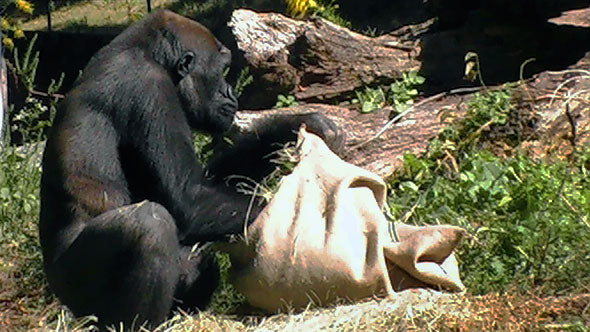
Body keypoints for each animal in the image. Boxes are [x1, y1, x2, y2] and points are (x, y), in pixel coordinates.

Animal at [39, 9, 344, 330]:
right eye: (221, 69)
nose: (229, 91)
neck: (145, 52)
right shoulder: (149, 87)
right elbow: (188, 198)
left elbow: (210, 183)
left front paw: (298, 125)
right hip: (74, 288)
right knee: (150, 225)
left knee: (196, 258)